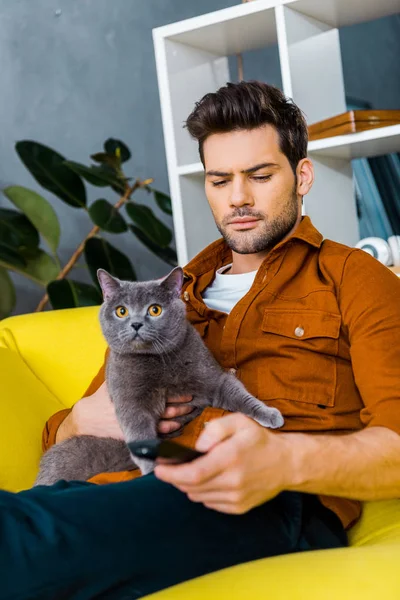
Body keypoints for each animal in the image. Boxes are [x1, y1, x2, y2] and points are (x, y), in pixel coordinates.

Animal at [35, 268, 284, 488]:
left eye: (155, 310)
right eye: (121, 311)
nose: (136, 324)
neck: (158, 362)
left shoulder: (213, 378)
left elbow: (238, 394)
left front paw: (270, 415)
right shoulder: (129, 400)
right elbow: (138, 429)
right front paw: (151, 468)